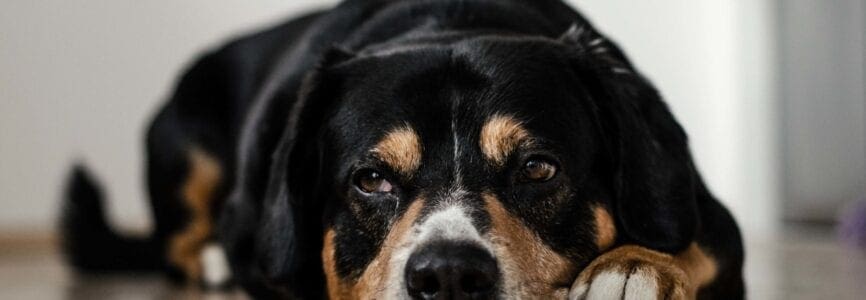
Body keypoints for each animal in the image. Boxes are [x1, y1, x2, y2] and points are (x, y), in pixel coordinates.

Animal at [60, 0, 740, 298]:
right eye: (371, 179)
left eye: (537, 169)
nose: (448, 275)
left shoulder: (709, 217)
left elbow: (687, 246)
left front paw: (631, 269)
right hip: (185, 146)